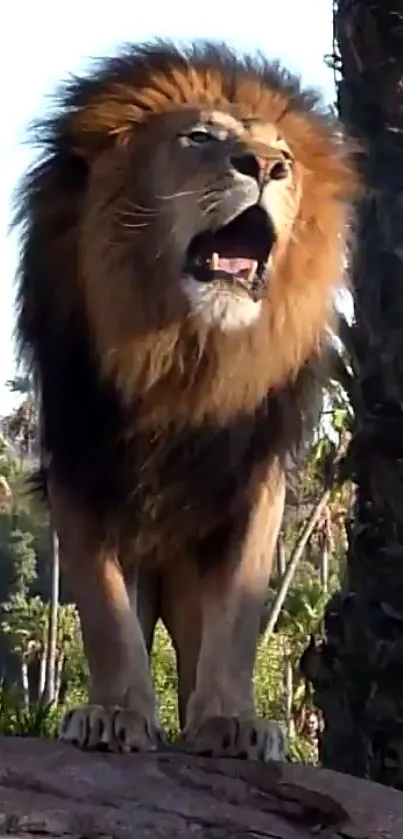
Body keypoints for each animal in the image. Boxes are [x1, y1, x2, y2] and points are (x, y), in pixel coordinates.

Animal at [14, 39, 358, 760]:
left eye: (283, 154)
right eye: (199, 137)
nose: (266, 167)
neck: (187, 357)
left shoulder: (255, 476)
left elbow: (236, 620)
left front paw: (232, 722)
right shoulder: (78, 463)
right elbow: (107, 616)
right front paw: (115, 714)